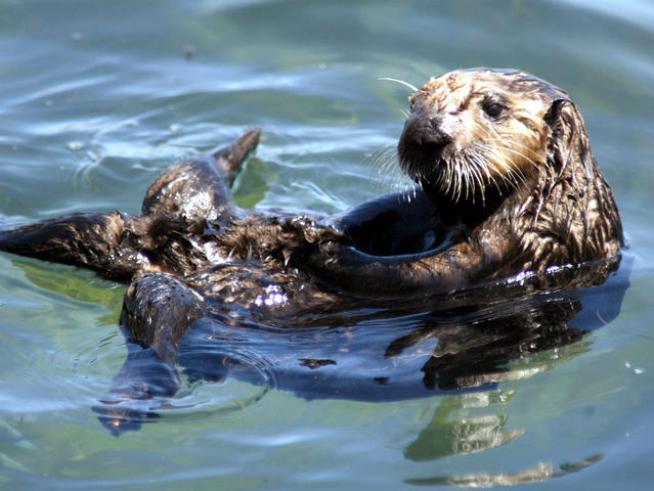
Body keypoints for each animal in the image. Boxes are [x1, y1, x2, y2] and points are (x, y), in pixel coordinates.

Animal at [0, 68, 623, 431]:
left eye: (492, 108)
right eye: (417, 102)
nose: (426, 133)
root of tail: (181, 251)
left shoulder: (516, 245)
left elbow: (423, 273)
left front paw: (314, 248)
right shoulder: (417, 210)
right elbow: (378, 217)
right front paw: (310, 227)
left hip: (175, 298)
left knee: (157, 325)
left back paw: (130, 402)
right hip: (154, 222)